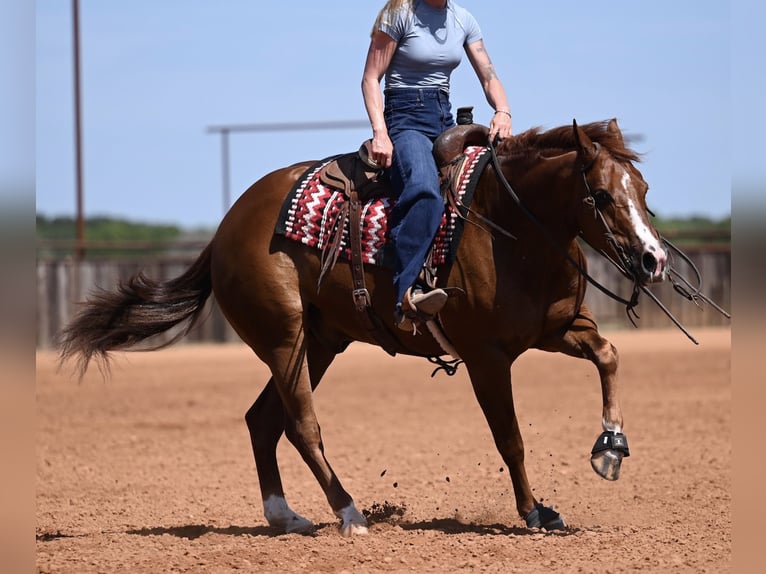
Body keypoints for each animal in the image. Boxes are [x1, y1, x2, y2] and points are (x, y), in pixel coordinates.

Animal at [59, 118, 667, 536]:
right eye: (603, 195)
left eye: (644, 192)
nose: (654, 260)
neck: (508, 226)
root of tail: (227, 227)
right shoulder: (488, 357)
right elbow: (510, 438)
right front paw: (535, 512)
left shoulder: (558, 330)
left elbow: (609, 355)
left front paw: (610, 449)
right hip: (285, 340)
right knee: (301, 426)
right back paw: (350, 513)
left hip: (320, 343)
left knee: (262, 421)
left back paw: (286, 516)